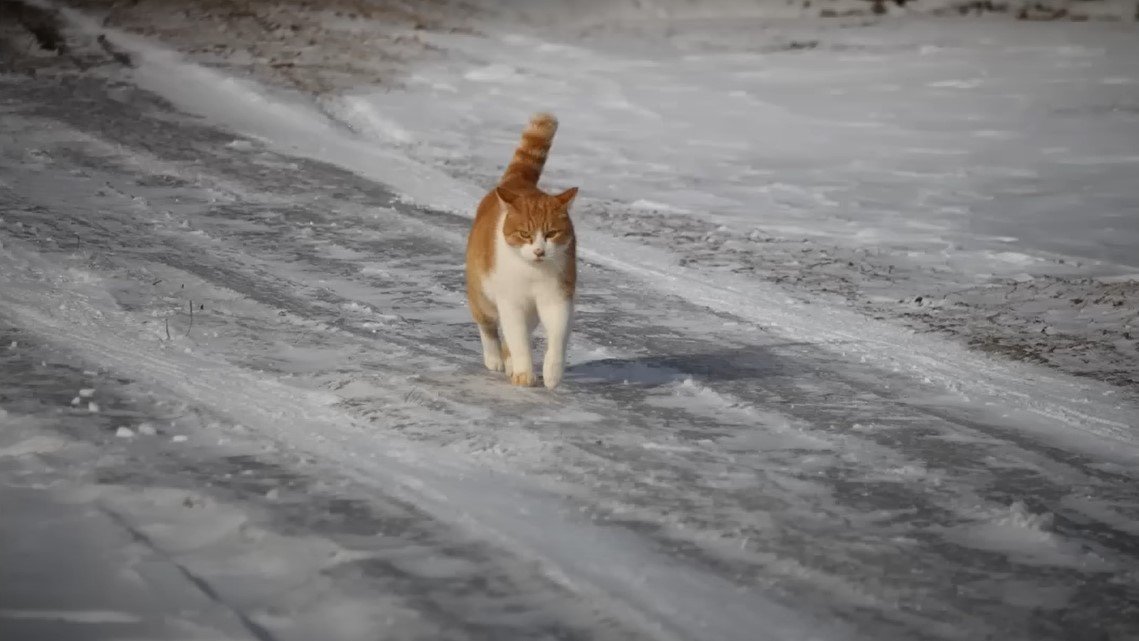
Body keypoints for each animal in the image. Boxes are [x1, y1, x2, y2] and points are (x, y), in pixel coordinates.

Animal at [464, 112, 578, 389]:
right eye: (525, 234)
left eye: (551, 234)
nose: (539, 251)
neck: (532, 273)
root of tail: (518, 182)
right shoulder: (511, 302)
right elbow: (518, 341)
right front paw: (525, 373)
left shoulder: (557, 298)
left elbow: (556, 337)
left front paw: (552, 373)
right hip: (483, 295)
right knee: (488, 326)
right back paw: (495, 358)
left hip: (532, 311)